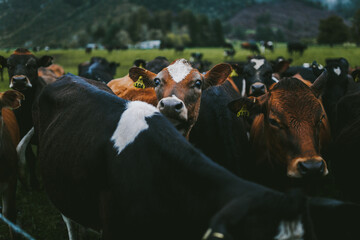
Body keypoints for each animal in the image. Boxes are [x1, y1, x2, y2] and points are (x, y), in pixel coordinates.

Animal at [0, 47, 52, 189]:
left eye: (33, 66)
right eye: (9, 65)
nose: (19, 80)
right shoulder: (23, 132)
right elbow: (30, 158)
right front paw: (34, 183)